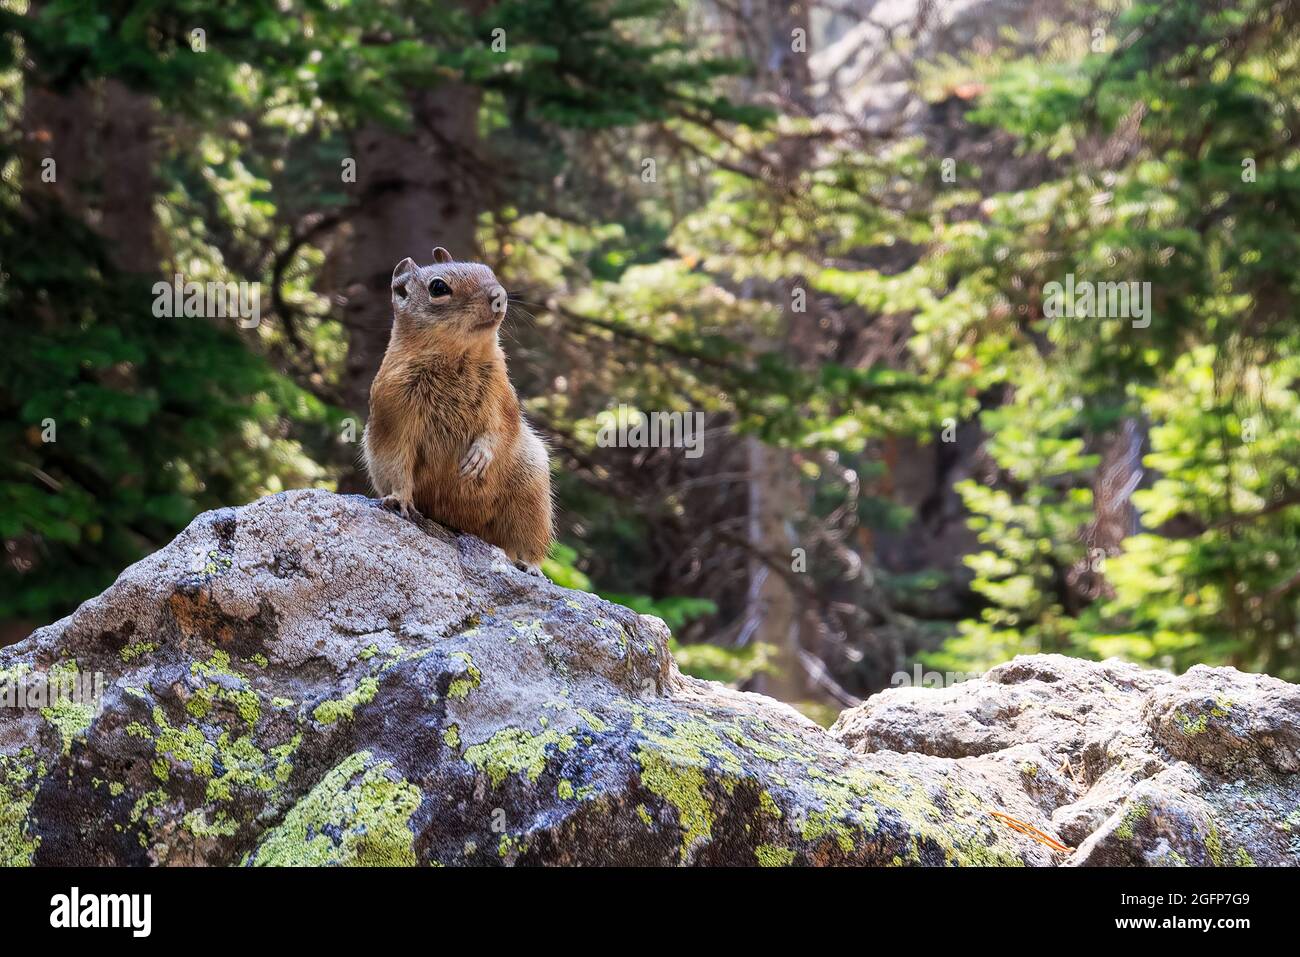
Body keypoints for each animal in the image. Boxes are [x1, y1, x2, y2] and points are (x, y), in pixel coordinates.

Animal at [361, 247, 553, 566]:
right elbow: (395, 458)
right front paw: (399, 499)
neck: (460, 356)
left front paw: (480, 456)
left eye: (486, 269)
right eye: (438, 288)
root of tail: (465, 525)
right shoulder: (393, 409)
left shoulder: (503, 395)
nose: (499, 294)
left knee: (526, 543)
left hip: (532, 495)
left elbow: (503, 428)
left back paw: (529, 565)